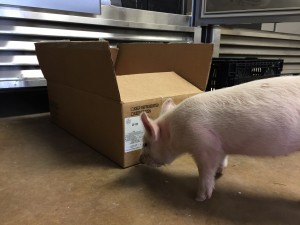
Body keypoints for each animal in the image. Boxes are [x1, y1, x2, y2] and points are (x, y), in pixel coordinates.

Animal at [139, 75, 300, 200]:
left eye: (145, 143)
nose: (139, 160)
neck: (177, 131)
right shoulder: (220, 147)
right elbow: (222, 159)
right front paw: (219, 172)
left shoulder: (205, 145)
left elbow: (205, 171)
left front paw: (199, 198)